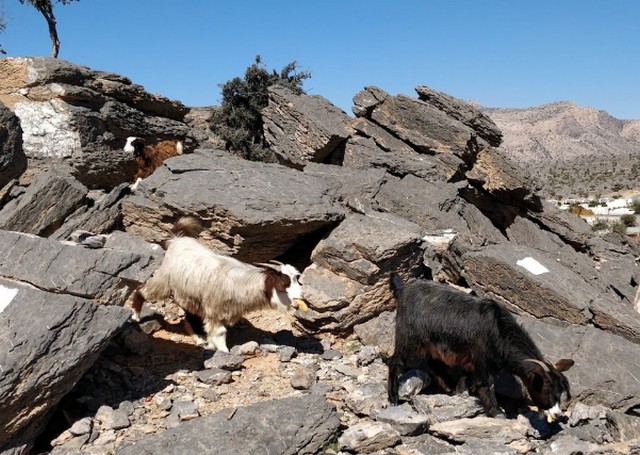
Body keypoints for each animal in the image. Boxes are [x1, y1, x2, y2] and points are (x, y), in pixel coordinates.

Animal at [130, 217, 304, 352]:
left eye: (296, 277)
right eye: (285, 282)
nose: (301, 295)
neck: (243, 283)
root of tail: (177, 239)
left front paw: (211, 345)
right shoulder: (214, 310)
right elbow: (219, 332)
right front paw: (223, 352)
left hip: (189, 294)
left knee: (190, 316)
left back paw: (199, 338)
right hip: (165, 280)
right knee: (143, 291)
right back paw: (136, 316)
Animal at [388, 272, 576, 422]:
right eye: (547, 389)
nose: (557, 414)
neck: (498, 330)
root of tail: (403, 289)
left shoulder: (470, 359)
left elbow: (466, 377)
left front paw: (461, 392)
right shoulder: (483, 361)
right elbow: (486, 385)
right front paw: (497, 412)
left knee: (434, 363)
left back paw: (448, 387)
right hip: (408, 338)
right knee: (395, 361)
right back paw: (393, 398)